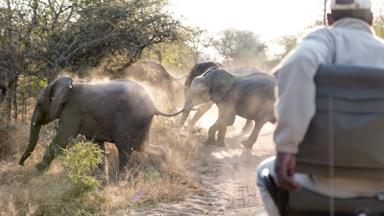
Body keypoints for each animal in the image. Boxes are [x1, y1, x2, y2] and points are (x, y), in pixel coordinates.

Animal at [18, 77, 184, 171]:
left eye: (39, 104)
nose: (21, 164)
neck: (68, 83)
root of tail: (153, 105)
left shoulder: (73, 111)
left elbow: (62, 139)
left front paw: (38, 169)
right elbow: (97, 144)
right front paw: (99, 177)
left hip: (133, 120)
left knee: (125, 149)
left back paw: (119, 180)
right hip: (142, 122)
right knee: (142, 147)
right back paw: (164, 164)